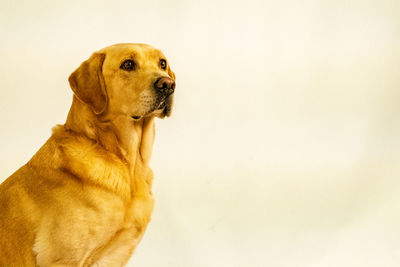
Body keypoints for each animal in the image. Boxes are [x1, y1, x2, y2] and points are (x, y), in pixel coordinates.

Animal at [0, 43, 177, 266]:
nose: (168, 84)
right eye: (128, 64)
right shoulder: (63, 258)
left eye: (162, 63)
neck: (128, 165)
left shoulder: (114, 255)